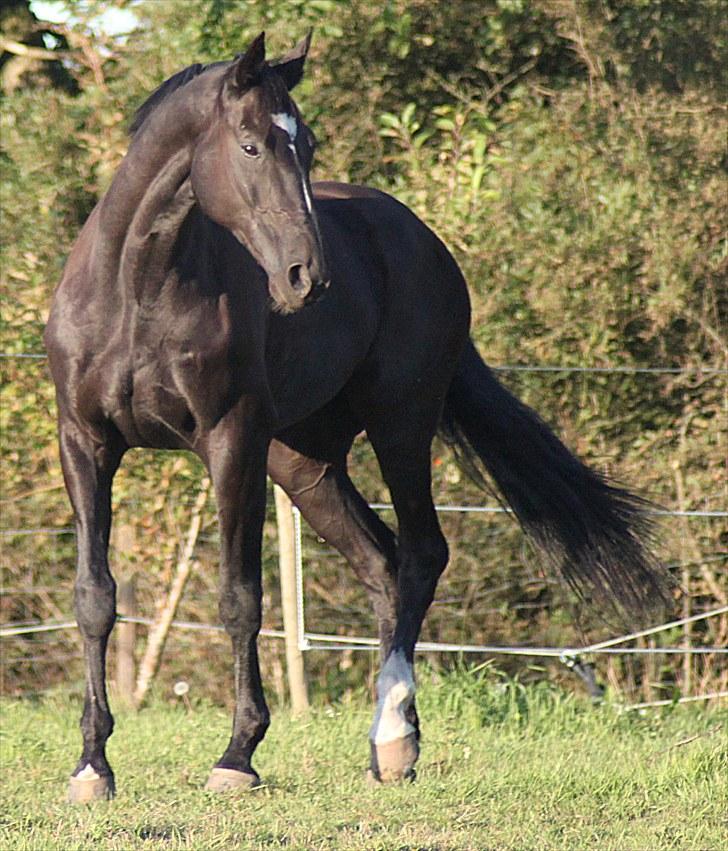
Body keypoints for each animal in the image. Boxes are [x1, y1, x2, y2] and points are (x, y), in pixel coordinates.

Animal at [44, 33, 664, 804]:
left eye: (306, 145)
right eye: (251, 145)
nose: (307, 277)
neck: (138, 293)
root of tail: (421, 240)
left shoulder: (231, 444)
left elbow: (240, 597)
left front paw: (237, 755)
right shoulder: (85, 444)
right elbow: (94, 598)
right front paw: (92, 765)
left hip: (401, 423)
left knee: (423, 553)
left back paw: (394, 738)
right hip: (304, 463)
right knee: (381, 561)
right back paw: (389, 738)